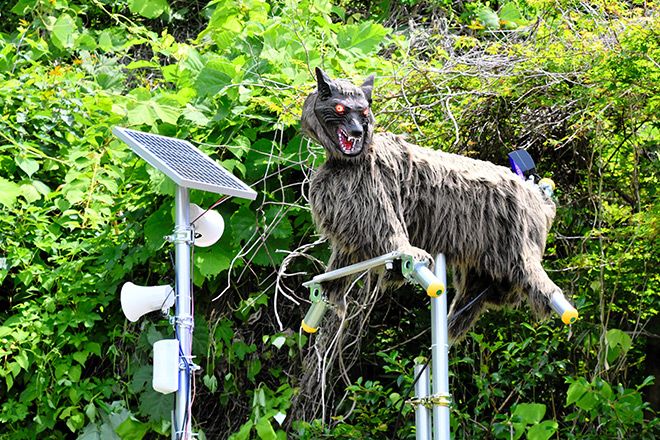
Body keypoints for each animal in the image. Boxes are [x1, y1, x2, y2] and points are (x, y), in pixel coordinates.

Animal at [301, 68, 561, 340]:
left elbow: (393, 234)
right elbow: (341, 260)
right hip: (484, 260)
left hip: (518, 244)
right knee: (475, 293)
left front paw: (409, 254)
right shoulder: (353, 221)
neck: (344, 163)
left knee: (533, 274)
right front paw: (329, 289)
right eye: (340, 108)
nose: (357, 133)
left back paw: (552, 299)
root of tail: (538, 195)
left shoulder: (377, 203)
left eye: (363, 112)